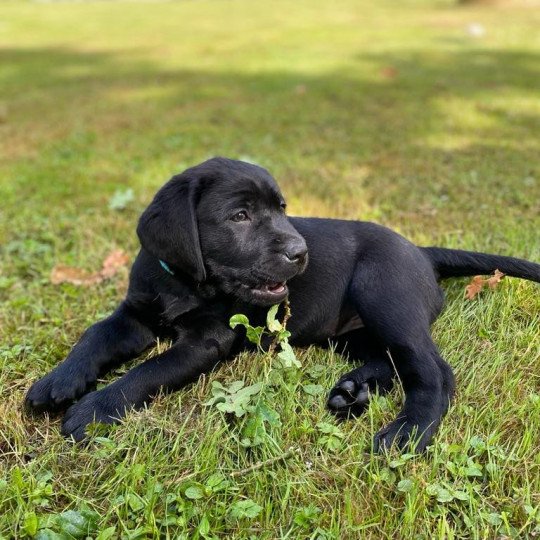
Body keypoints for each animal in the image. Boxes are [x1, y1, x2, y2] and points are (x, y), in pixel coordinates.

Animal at [26, 157, 540, 452]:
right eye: (239, 215)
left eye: (281, 209)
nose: (301, 252)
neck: (186, 285)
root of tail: (421, 251)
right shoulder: (136, 314)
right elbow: (96, 334)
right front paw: (59, 381)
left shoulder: (204, 341)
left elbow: (145, 373)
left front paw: (93, 409)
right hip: (348, 334)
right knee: (389, 359)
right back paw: (354, 390)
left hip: (384, 295)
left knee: (433, 370)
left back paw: (407, 432)